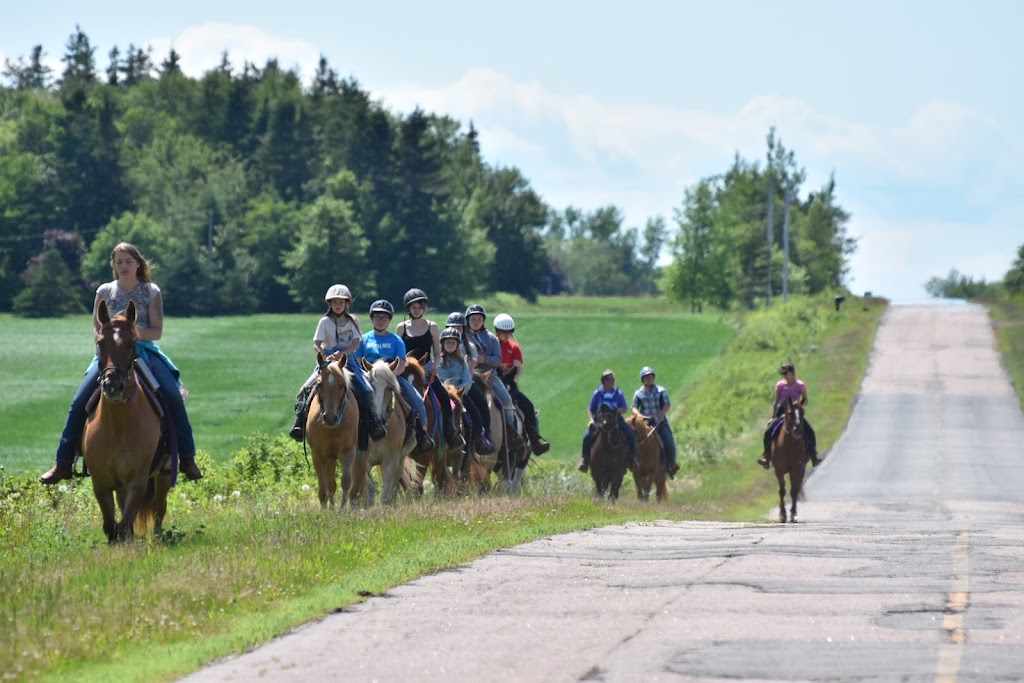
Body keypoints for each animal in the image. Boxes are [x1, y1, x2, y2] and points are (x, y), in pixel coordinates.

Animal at [81, 299, 172, 544]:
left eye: (131, 344)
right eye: (100, 343)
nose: (112, 386)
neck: (117, 427)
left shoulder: (137, 482)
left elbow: (126, 523)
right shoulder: (100, 483)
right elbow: (111, 525)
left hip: (164, 474)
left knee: (159, 507)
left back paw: (158, 537)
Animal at [303, 352, 360, 507]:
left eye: (342, 385)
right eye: (319, 384)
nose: (330, 418)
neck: (332, 429)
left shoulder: (349, 451)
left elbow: (346, 481)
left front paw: (342, 509)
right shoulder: (317, 455)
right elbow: (323, 487)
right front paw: (326, 509)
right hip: (329, 457)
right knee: (329, 484)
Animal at [348, 360, 419, 505]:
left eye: (390, 388)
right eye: (371, 387)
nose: (379, 419)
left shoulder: (392, 460)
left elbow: (386, 495)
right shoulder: (364, 461)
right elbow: (369, 489)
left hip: (400, 459)